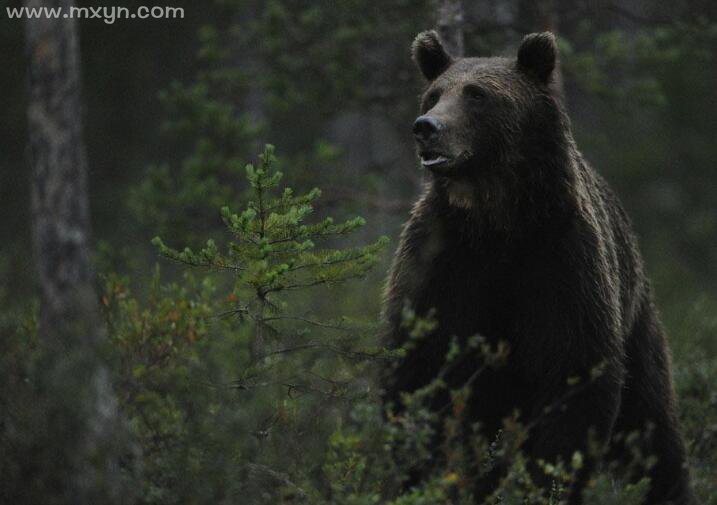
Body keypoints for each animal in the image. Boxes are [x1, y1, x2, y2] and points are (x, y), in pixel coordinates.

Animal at [380, 31, 692, 504]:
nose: (426, 127)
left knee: (651, 425)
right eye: (434, 94)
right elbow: (418, 366)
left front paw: (548, 480)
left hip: (637, 322)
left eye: (477, 95)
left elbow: (575, 375)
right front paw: (416, 476)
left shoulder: (559, 260)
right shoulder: (443, 264)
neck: (495, 220)